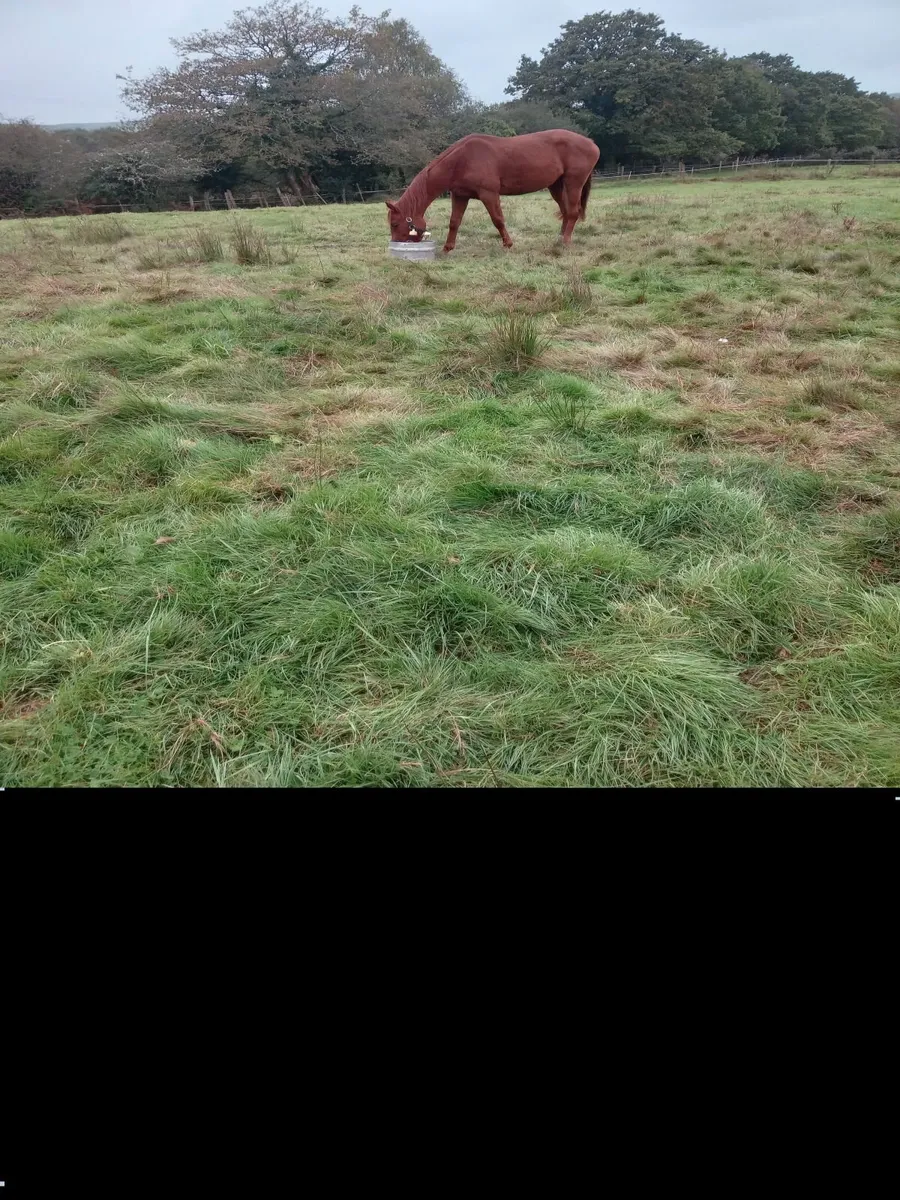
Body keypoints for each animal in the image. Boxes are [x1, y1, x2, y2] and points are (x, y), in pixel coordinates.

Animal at [386, 129, 600, 253]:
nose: (396, 243)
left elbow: (498, 220)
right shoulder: (460, 195)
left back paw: (565, 242)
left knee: (572, 212)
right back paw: (559, 239)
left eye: (395, 224)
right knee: (565, 212)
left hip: (573, 183)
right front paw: (448, 248)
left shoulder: (488, 194)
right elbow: (454, 222)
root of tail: (591, 142)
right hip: (556, 186)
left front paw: (508, 244)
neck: (461, 160)